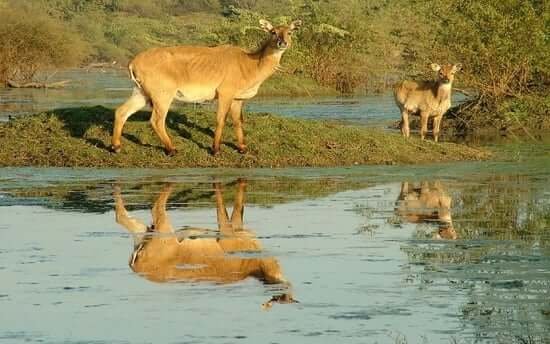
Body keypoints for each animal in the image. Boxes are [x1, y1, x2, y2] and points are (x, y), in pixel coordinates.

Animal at [110, 18, 304, 156]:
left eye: (290, 32)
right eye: (273, 32)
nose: (282, 43)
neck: (250, 63)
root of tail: (133, 62)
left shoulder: (237, 98)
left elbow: (238, 121)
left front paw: (242, 148)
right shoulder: (225, 93)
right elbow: (221, 120)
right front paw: (215, 149)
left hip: (141, 92)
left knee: (121, 111)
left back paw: (115, 147)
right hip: (162, 95)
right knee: (156, 120)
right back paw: (171, 150)